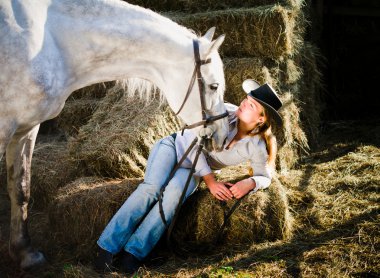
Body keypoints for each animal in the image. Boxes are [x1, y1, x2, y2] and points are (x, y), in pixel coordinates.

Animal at [0, 0, 227, 270]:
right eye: (213, 86)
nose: (223, 136)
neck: (51, 40)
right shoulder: (5, 127)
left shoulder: (25, 129)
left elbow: (20, 188)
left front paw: (26, 253)